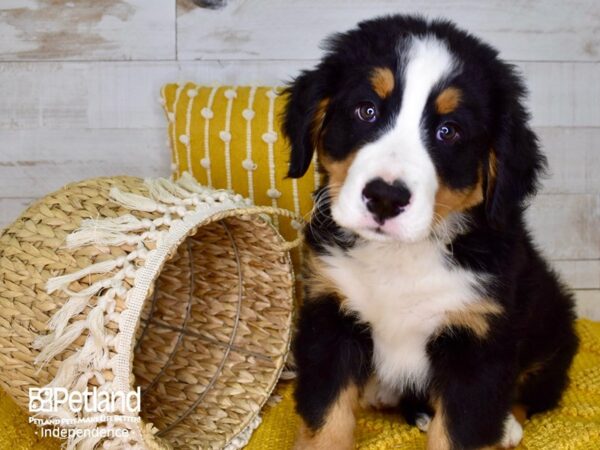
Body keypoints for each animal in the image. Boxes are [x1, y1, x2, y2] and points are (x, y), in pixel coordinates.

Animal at [284, 14, 580, 450]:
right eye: (366, 110)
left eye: (449, 131)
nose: (385, 198)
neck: (401, 257)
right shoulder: (330, 313)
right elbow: (327, 418)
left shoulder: (477, 340)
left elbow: (461, 428)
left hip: (552, 327)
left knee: (538, 390)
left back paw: (506, 425)